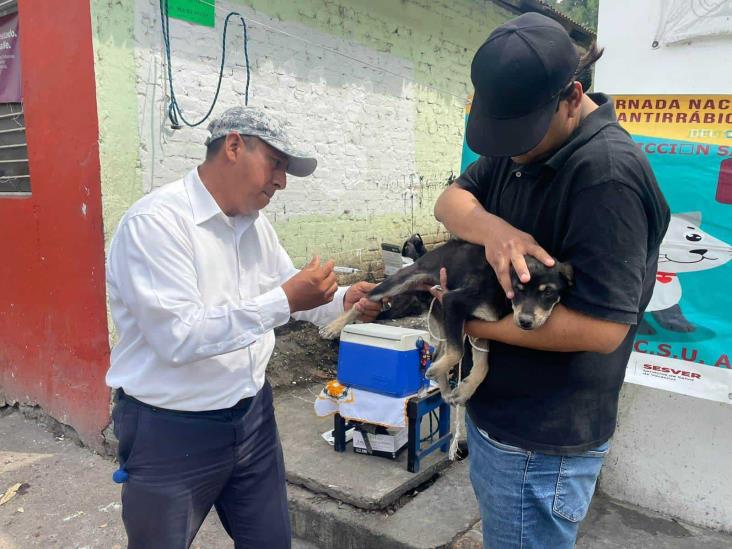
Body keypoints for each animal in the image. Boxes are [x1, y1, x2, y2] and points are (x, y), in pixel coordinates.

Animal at [320, 239, 572, 402]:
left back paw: (444, 389)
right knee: (361, 300)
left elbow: (483, 365)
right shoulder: (454, 301)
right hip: (399, 284)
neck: (502, 292)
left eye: (549, 293)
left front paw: (466, 390)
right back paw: (333, 327)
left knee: (438, 352)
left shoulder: (482, 325)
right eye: (518, 289)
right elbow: (459, 352)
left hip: (441, 316)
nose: (525, 322)